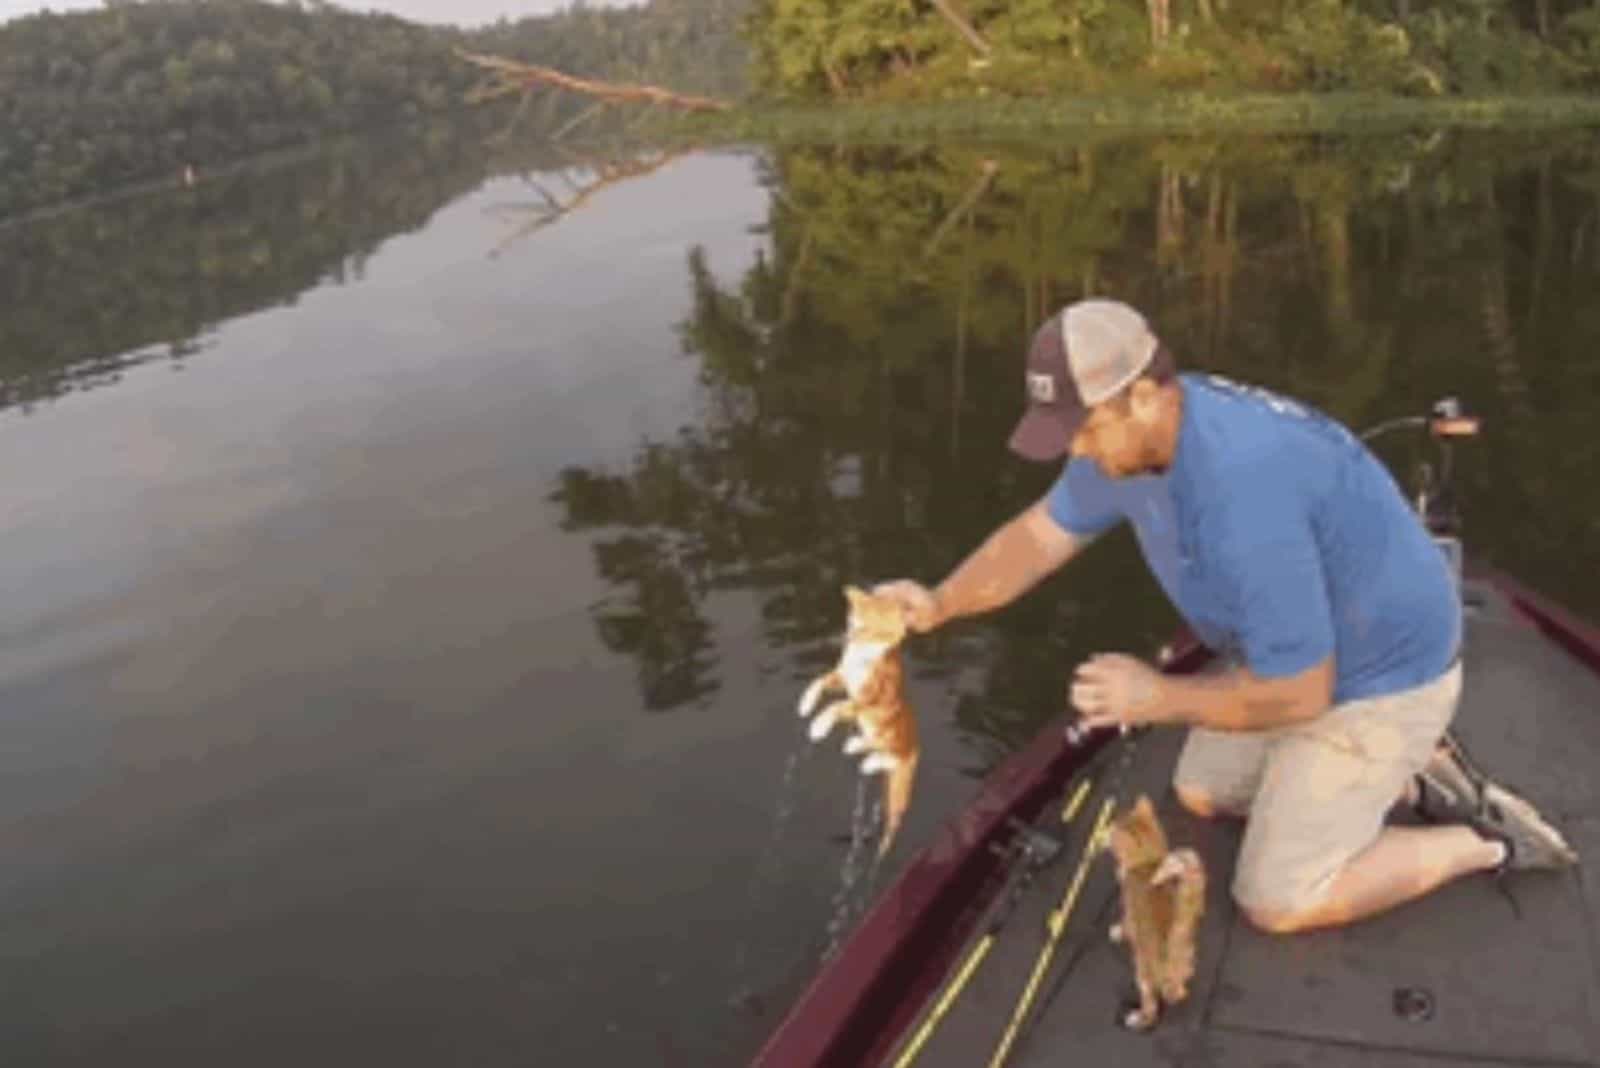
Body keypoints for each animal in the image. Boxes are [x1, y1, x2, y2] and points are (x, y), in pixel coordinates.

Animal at [793, 585, 921, 856]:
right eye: (853, 623)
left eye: (872, 632)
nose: (848, 638)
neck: (860, 659)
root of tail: (916, 748)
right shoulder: (841, 678)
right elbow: (819, 681)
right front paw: (805, 704)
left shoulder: (862, 701)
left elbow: (834, 706)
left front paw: (818, 727)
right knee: (872, 747)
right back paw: (855, 747)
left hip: (897, 762)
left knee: (888, 757)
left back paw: (868, 762)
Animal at [1107, 796, 1203, 1029]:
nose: (1106, 832)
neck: (1147, 863)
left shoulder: (1129, 911)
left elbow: (1125, 925)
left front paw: (1118, 932)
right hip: (1188, 954)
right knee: (1181, 989)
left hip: (1142, 972)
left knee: (1152, 1007)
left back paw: (1138, 1018)